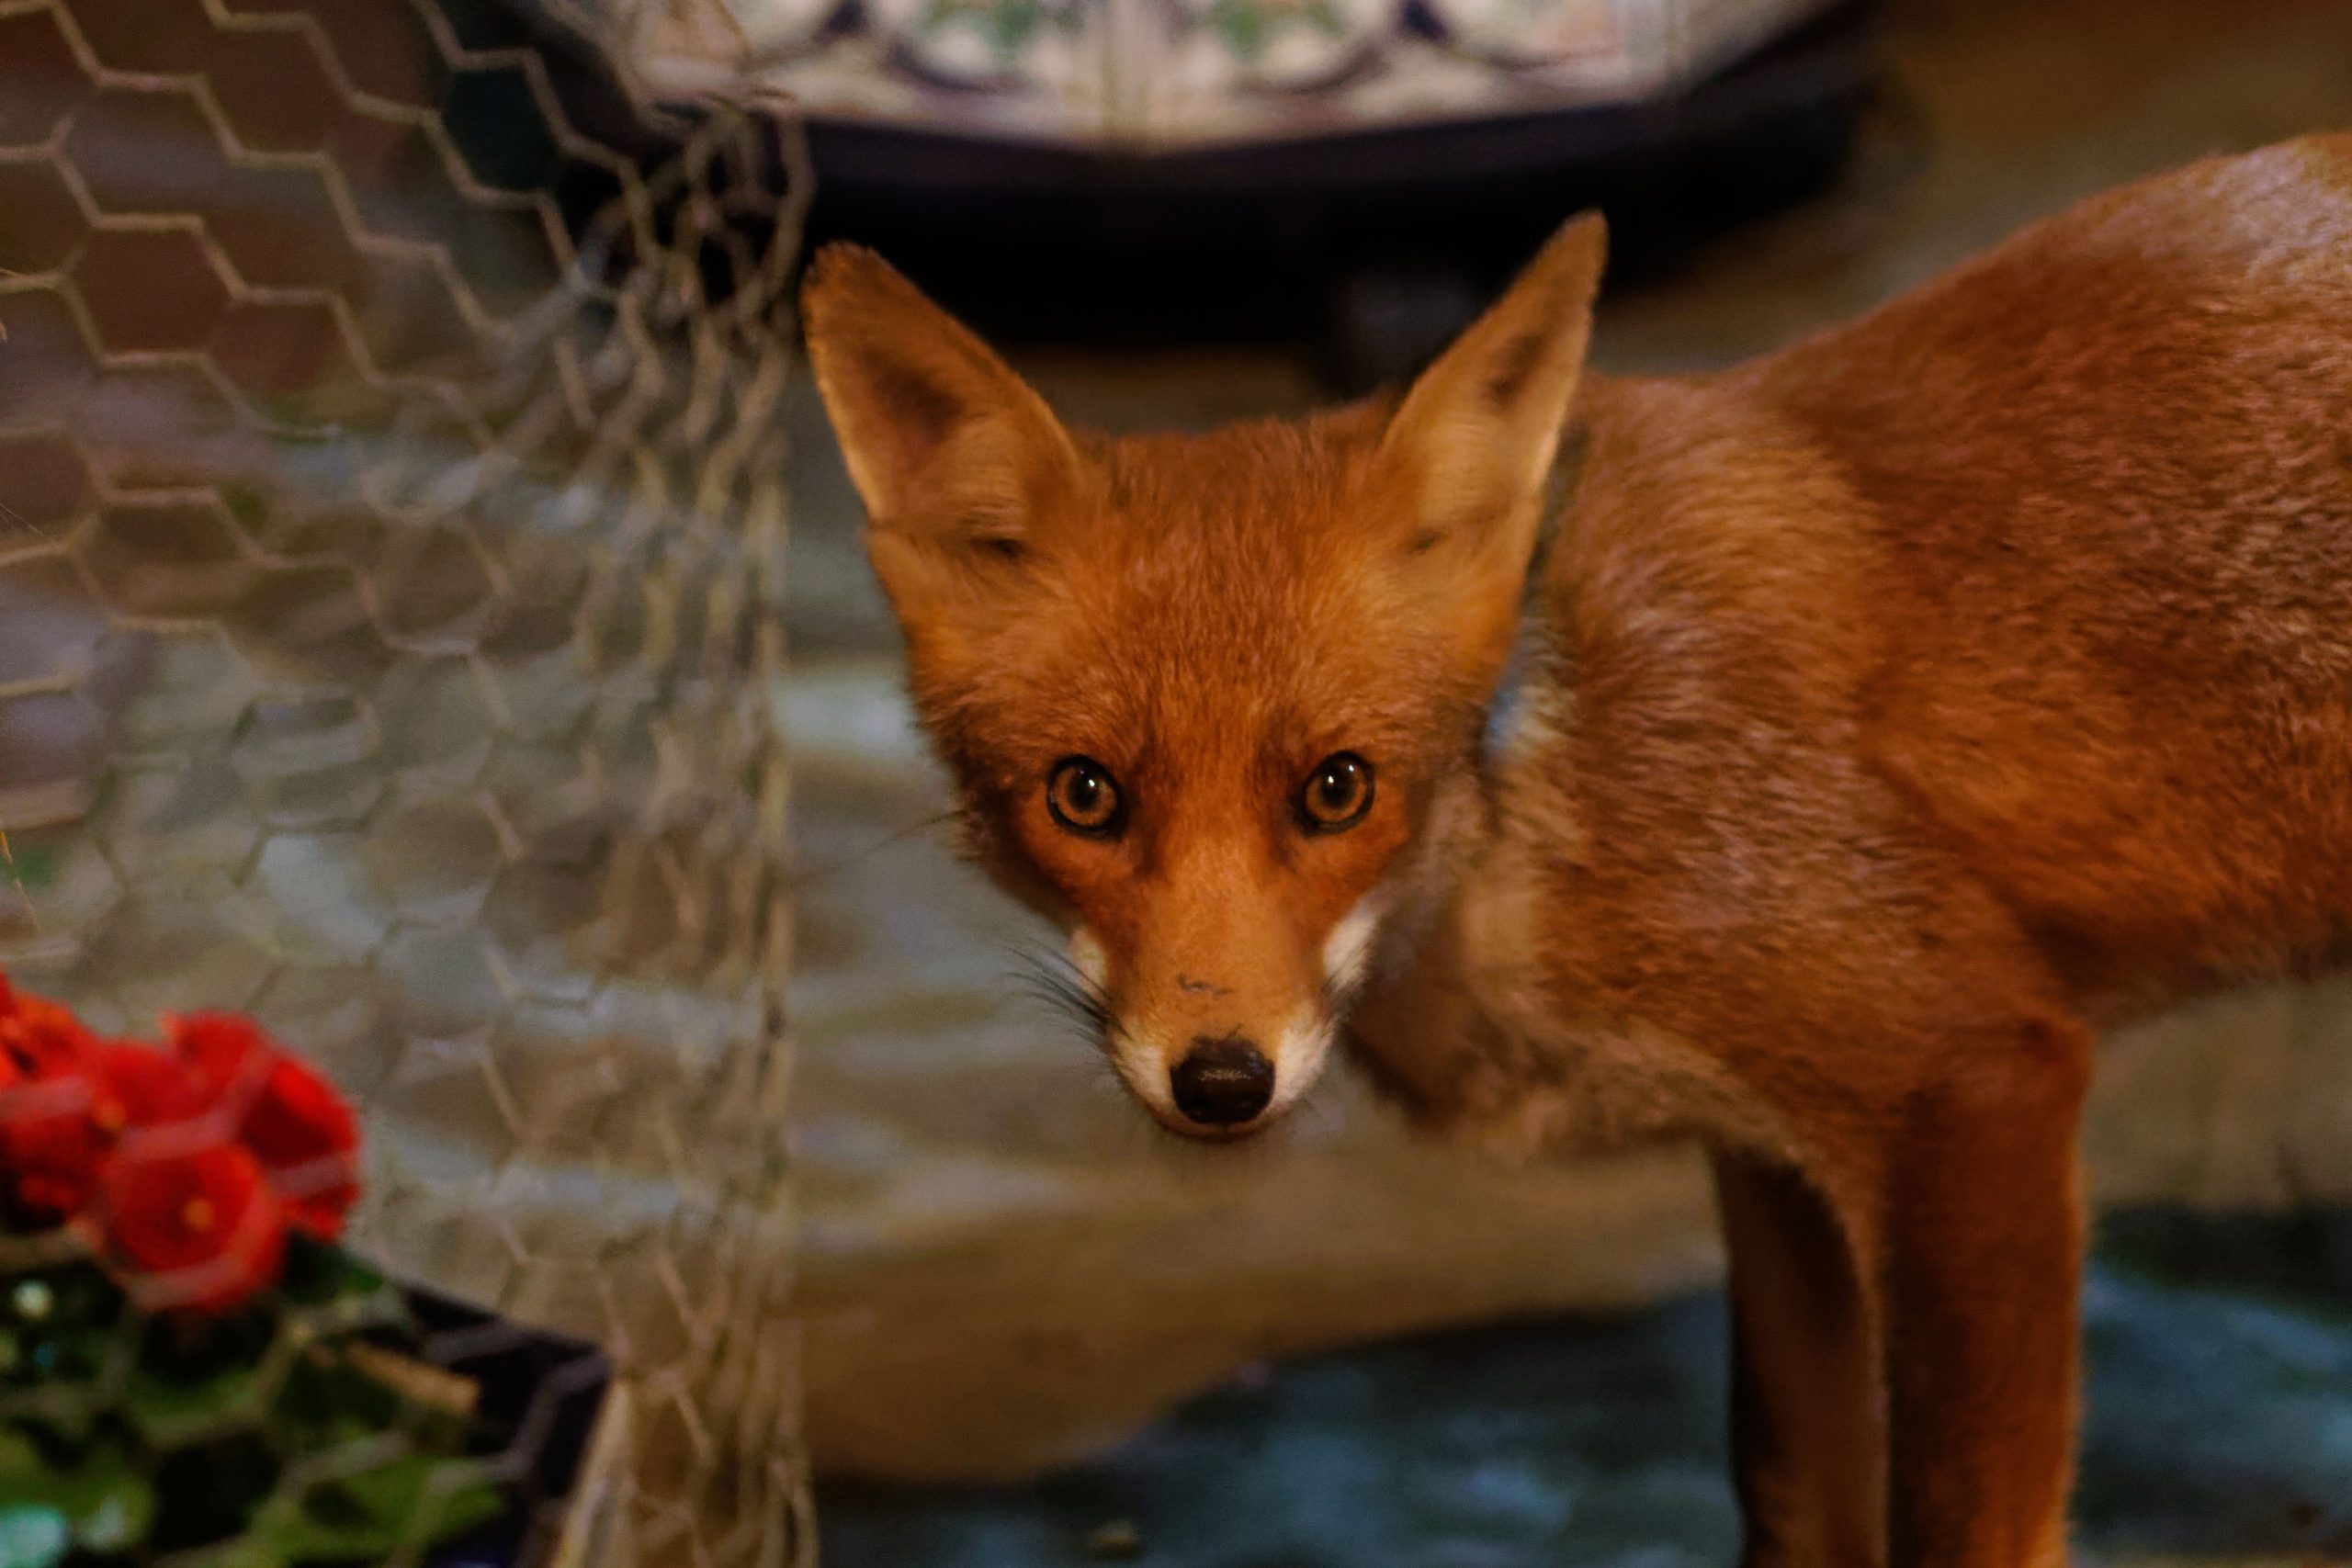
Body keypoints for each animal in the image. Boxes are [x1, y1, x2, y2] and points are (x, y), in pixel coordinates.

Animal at [800, 132, 2352, 1567]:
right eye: (1085, 797)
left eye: (1336, 789)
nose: (1222, 1079)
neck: (1540, 787)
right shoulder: (1775, 1149)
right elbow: (1794, 1491)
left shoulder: (1969, 1082)